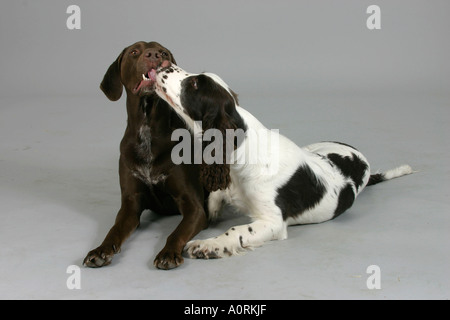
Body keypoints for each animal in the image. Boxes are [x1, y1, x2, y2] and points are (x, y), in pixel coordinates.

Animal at [83, 41, 209, 268]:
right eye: (134, 52)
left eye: (164, 52)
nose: (154, 55)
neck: (147, 127)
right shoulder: (130, 205)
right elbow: (114, 230)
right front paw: (101, 250)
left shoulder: (194, 207)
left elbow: (175, 233)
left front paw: (168, 252)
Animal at [152, 62, 414, 260]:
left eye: (194, 84)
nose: (162, 65)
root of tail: (362, 160)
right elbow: (214, 199)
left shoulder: (272, 221)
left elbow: (236, 230)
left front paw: (207, 245)